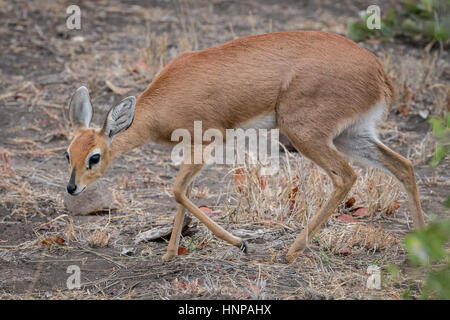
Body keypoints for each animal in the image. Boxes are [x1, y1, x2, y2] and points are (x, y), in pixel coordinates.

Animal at [64, 30, 426, 262]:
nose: (72, 188)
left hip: (305, 134)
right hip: (351, 135)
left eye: (94, 157)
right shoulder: (191, 145)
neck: (161, 105)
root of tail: (378, 72)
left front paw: (240, 243)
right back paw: (424, 249)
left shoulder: (209, 139)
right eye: (68, 152)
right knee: (403, 165)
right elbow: (184, 192)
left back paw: (290, 252)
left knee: (346, 176)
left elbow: (178, 189)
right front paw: (168, 255)